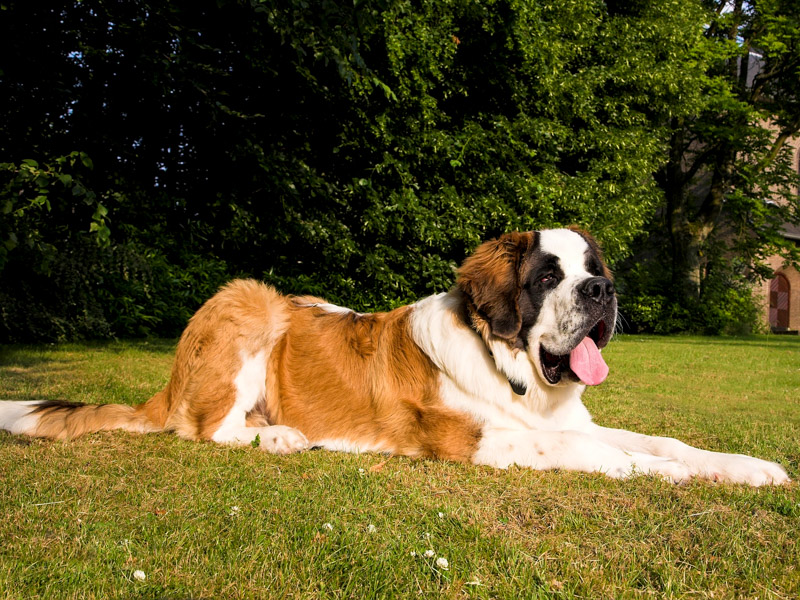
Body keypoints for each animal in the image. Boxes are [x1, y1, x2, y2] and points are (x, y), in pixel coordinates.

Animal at [0, 227, 788, 486]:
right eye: (547, 277)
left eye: (594, 269)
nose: (604, 291)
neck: (513, 373)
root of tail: (167, 381)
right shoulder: (475, 439)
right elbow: (608, 456)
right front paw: (665, 475)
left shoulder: (564, 422)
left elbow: (662, 441)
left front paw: (747, 469)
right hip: (252, 301)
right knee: (204, 429)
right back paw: (280, 437)